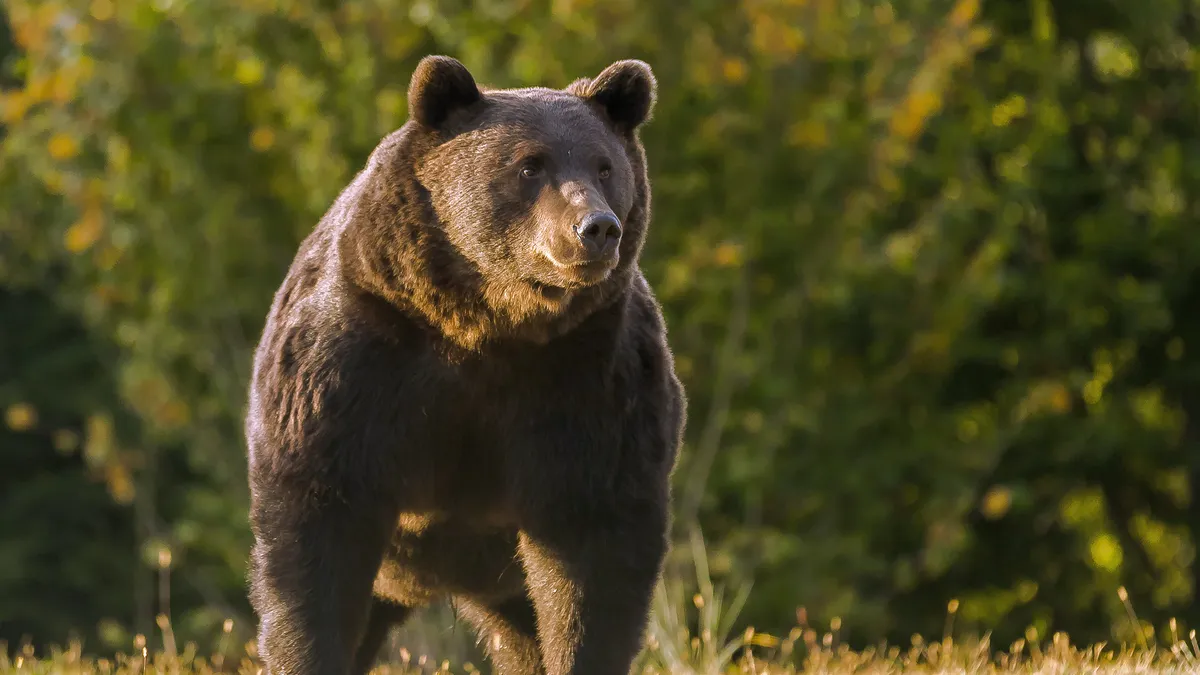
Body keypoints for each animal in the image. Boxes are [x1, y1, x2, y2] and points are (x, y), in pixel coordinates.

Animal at [243, 56, 686, 672]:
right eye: (529, 165)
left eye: (605, 168)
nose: (596, 227)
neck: (486, 324)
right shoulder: (356, 361)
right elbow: (316, 539)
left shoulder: (590, 376)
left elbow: (594, 553)